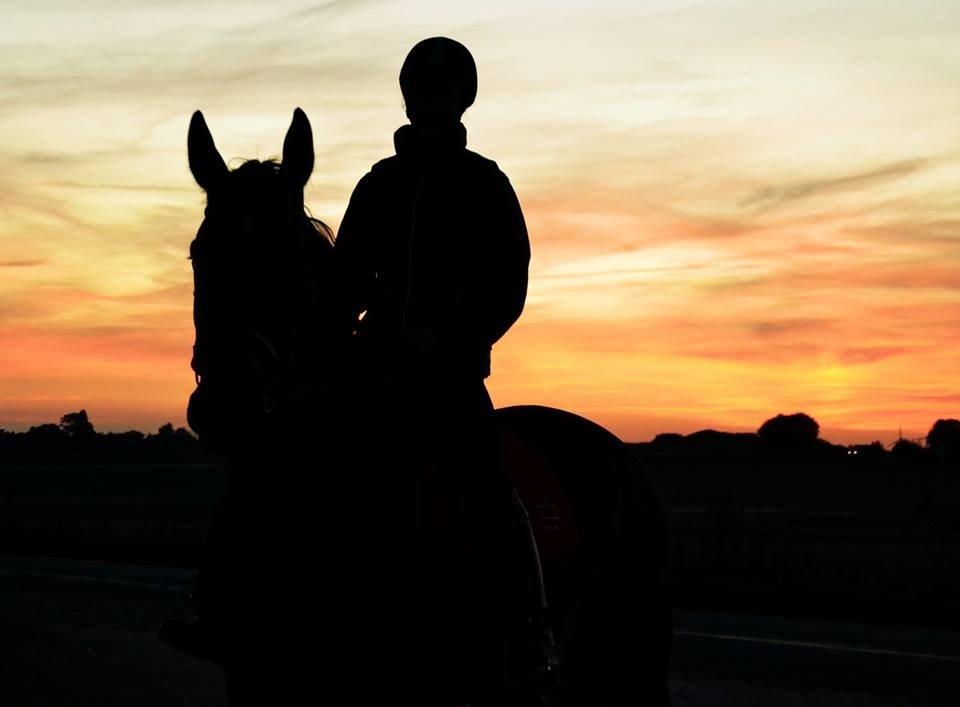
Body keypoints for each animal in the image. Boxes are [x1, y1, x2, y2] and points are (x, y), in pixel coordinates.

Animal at [176, 108, 676, 704]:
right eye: (199, 255)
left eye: (295, 264)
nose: (226, 404)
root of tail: (617, 455)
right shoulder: (255, 682)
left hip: (630, 670)